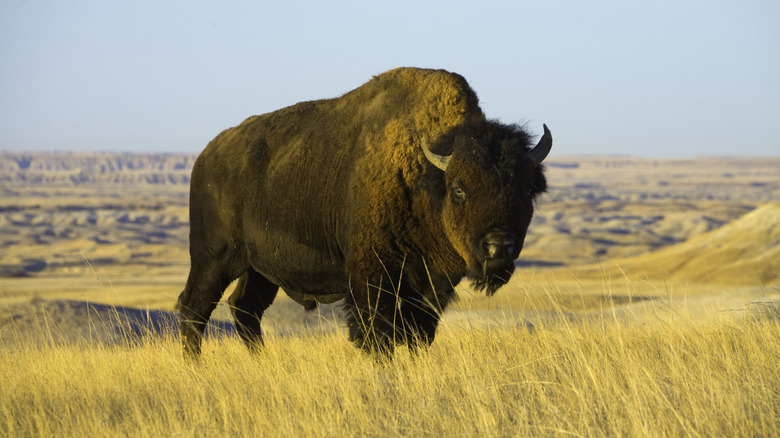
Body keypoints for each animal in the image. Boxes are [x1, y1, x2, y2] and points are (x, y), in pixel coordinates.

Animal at [179, 66, 552, 358]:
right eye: (459, 188)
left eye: (527, 188)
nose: (498, 246)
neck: (425, 177)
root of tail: (206, 156)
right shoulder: (372, 277)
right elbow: (376, 335)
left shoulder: (430, 288)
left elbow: (418, 336)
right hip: (214, 258)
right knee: (193, 307)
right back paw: (196, 367)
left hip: (259, 269)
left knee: (245, 308)